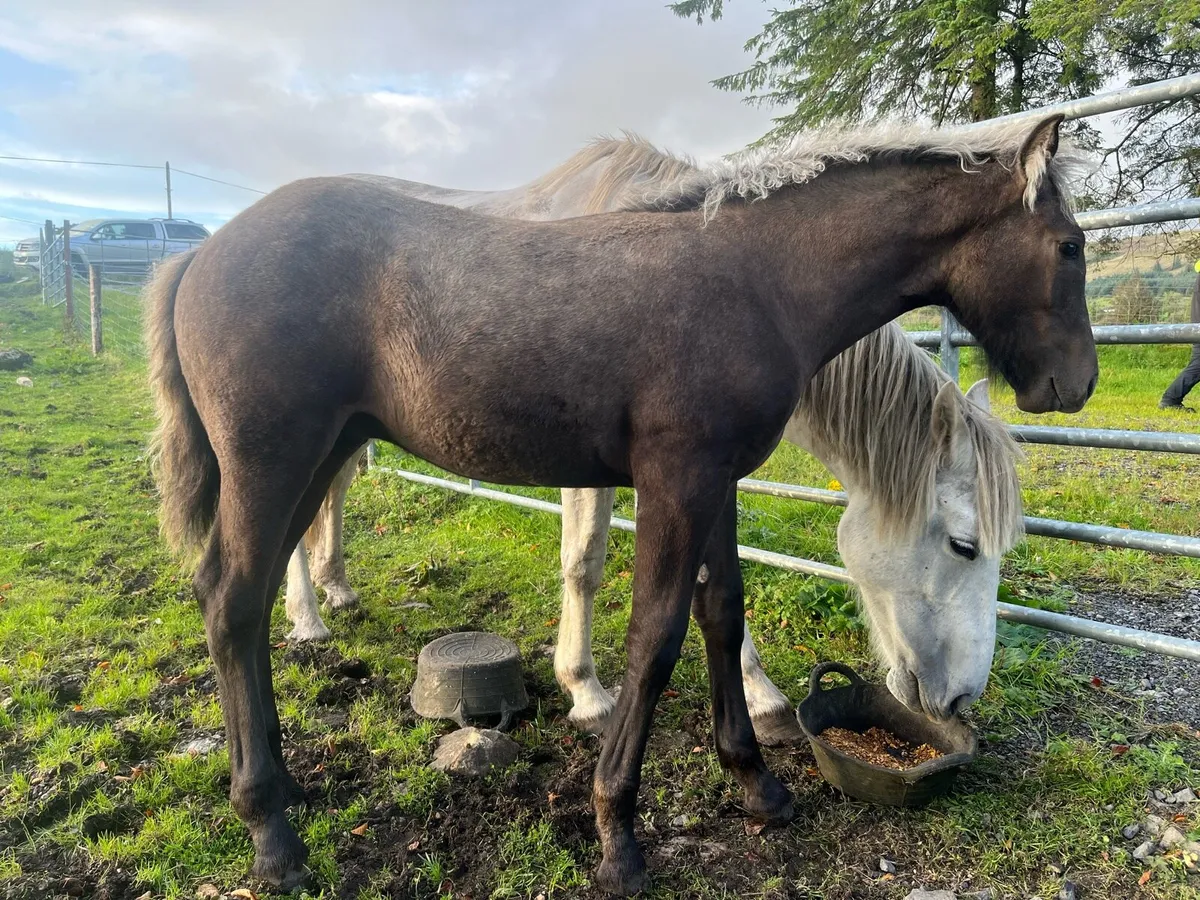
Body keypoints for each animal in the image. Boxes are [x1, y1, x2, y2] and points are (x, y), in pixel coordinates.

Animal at [146, 116, 1096, 894]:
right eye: (1069, 246)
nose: (1075, 384)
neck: (757, 275)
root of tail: (200, 256)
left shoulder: (715, 479)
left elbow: (721, 611)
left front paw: (756, 781)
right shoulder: (673, 481)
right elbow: (653, 636)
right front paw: (616, 833)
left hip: (321, 454)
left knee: (254, 591)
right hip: (273, 463)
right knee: (232, 604)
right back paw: (273, 833)